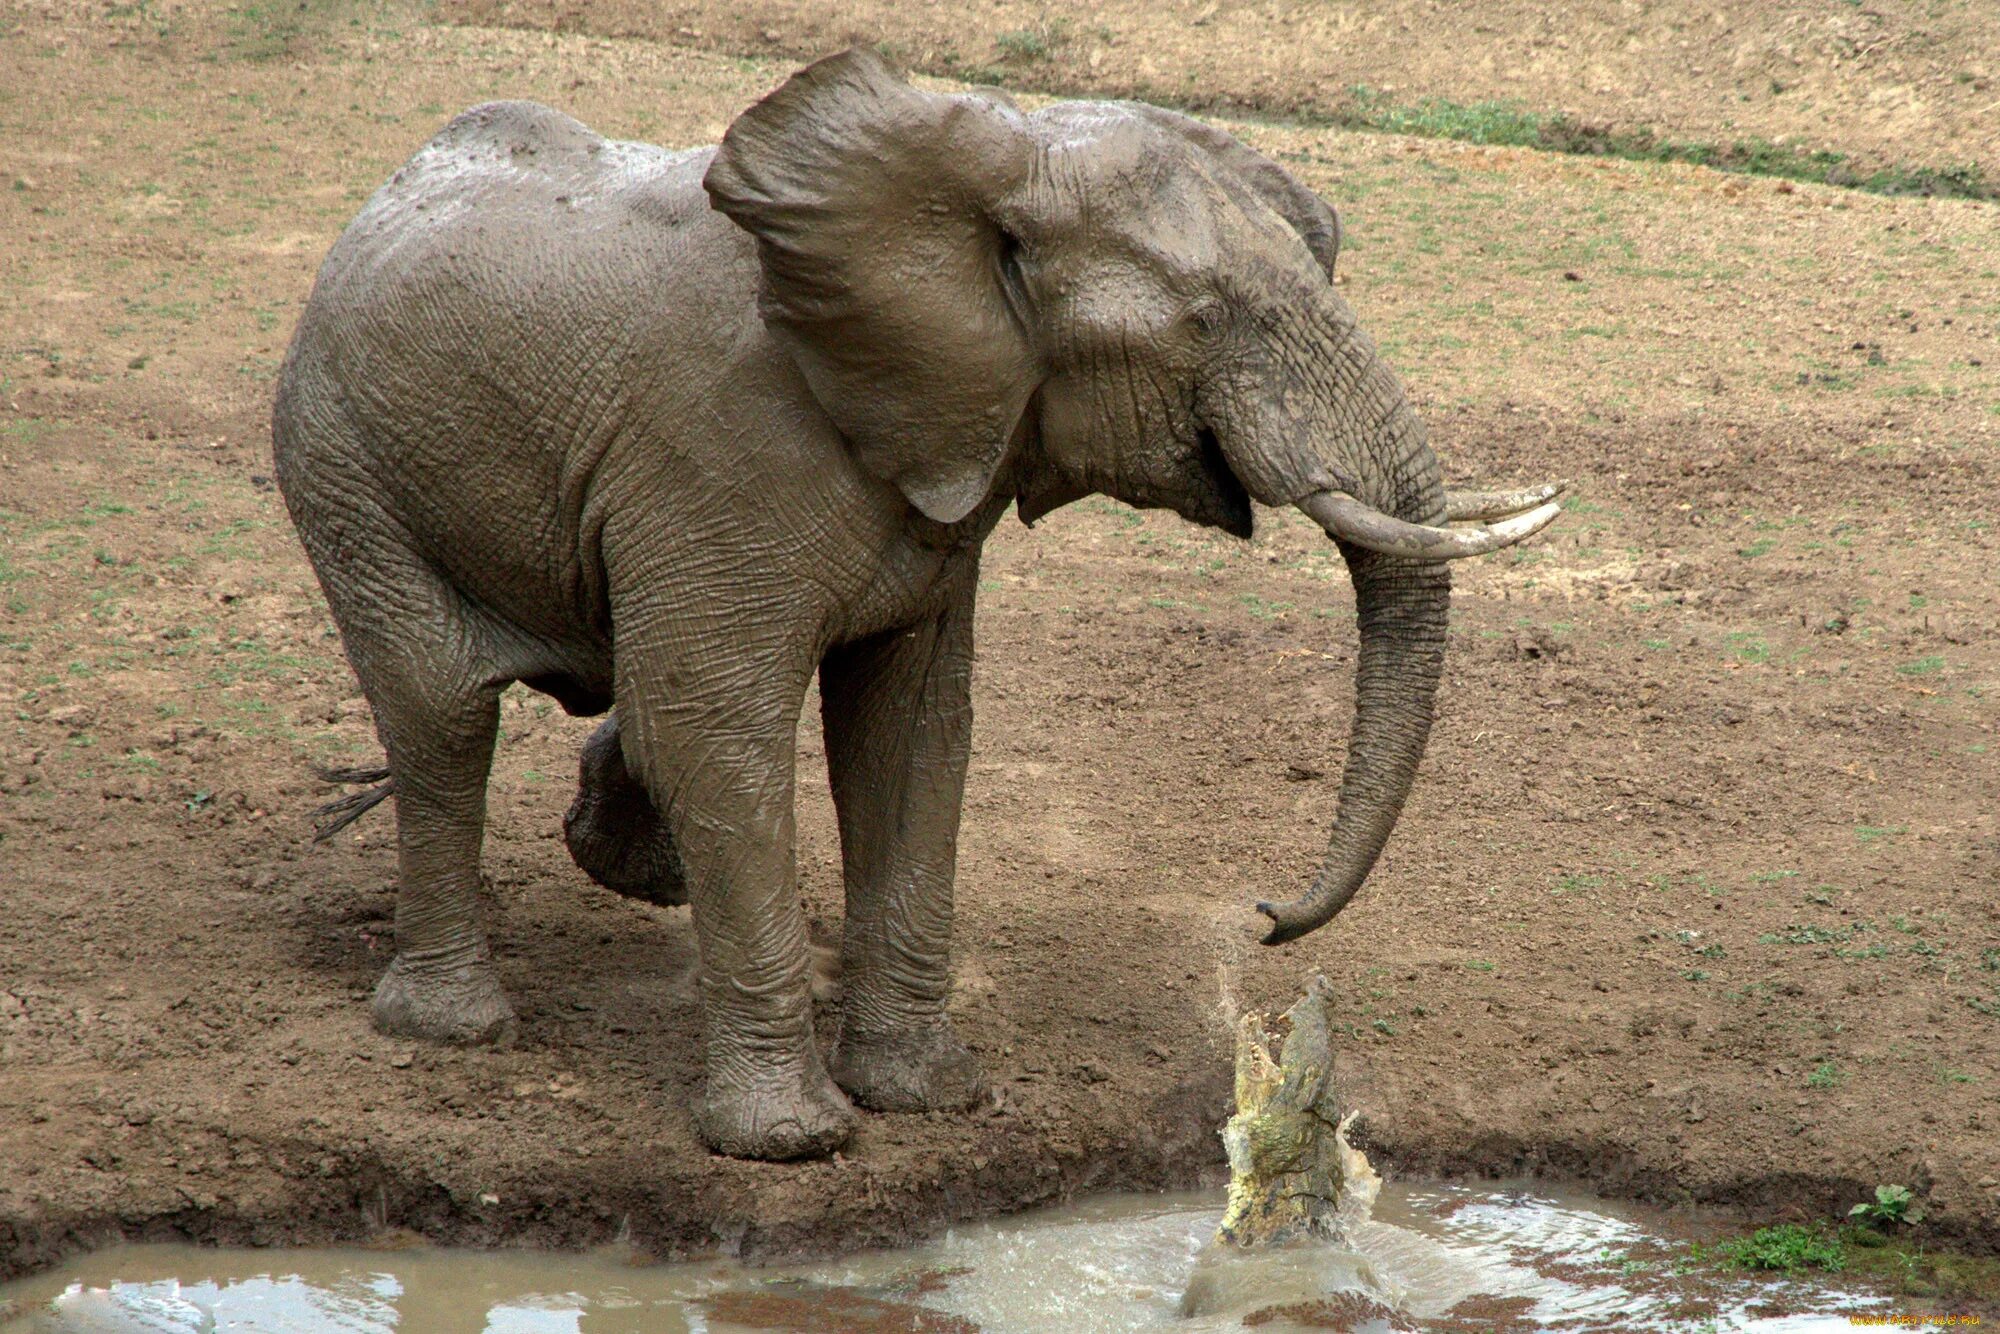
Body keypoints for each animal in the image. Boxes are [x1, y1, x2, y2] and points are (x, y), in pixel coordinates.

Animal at [274, 47, 1568, 1160]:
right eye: (1207, 320)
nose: (1264, 915)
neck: (986, 165)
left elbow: (910, 733)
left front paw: (927, 1097)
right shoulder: (717, 451)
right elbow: (718, 729)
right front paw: (792, 1141)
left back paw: (628, 860)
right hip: (342, 462)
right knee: (443, 715)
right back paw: (455, 1025)